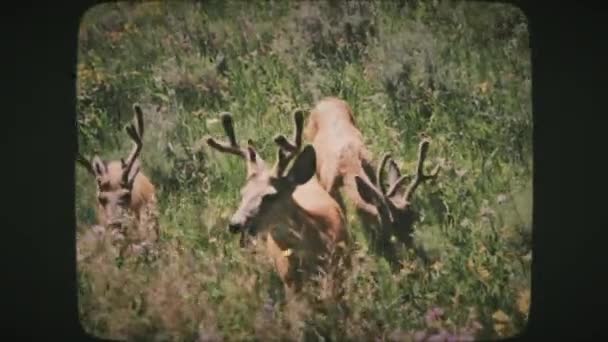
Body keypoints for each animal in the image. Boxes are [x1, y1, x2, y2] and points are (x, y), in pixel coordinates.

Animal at [302, 96, 436, 268]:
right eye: (393, 223)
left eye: (413, 217)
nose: (419, 253)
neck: (349, 162)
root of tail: (325, 99)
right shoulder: (329, 186)